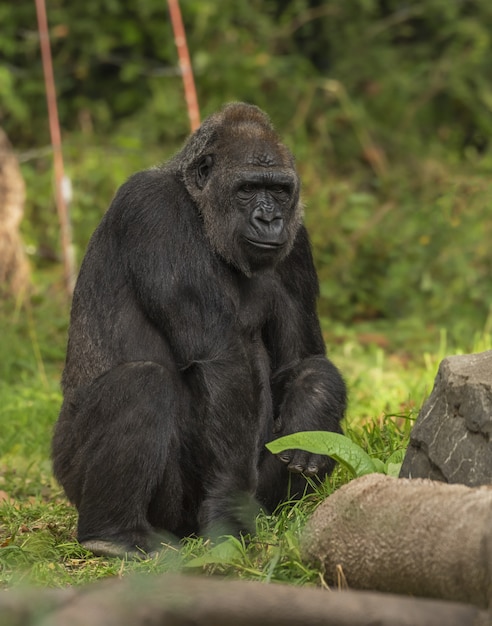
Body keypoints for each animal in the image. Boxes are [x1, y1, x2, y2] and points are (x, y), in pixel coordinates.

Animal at [52, 102, 346, 556]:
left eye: (280, 191)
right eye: (247, 189)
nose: (270, 218)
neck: (199, 207)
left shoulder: (297, 242)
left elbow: (303, 359)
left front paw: (312, 409)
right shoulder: (154, 209)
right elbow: (221, 359)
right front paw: (228, 507)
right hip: (74, 472)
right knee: (141, 385)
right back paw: (112, 533)